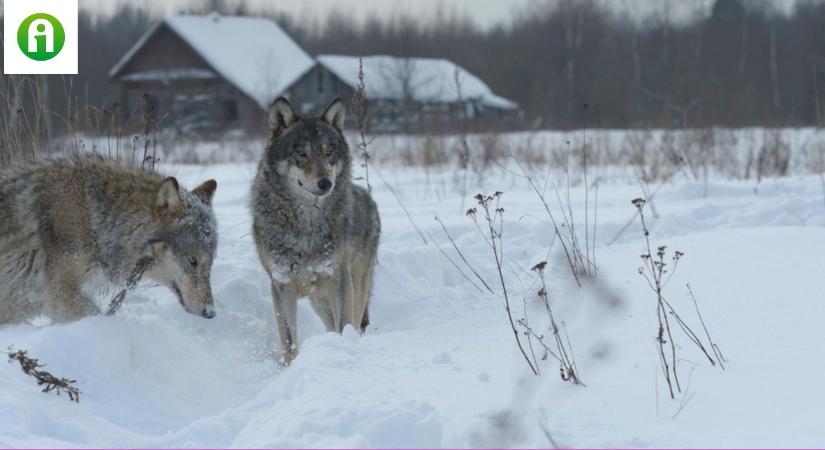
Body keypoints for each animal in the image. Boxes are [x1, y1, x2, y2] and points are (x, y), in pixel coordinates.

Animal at [251, 96, 380, 364]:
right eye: (301, 153)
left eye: (328, 152)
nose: (325, 183)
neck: (306, 226)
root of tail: (370, 200)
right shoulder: (281, 285)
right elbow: (288, 341)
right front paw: (290, 368)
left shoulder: (339, 281)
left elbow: (345, 325)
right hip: (318, 301)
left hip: (354, 286)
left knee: (354, 323)